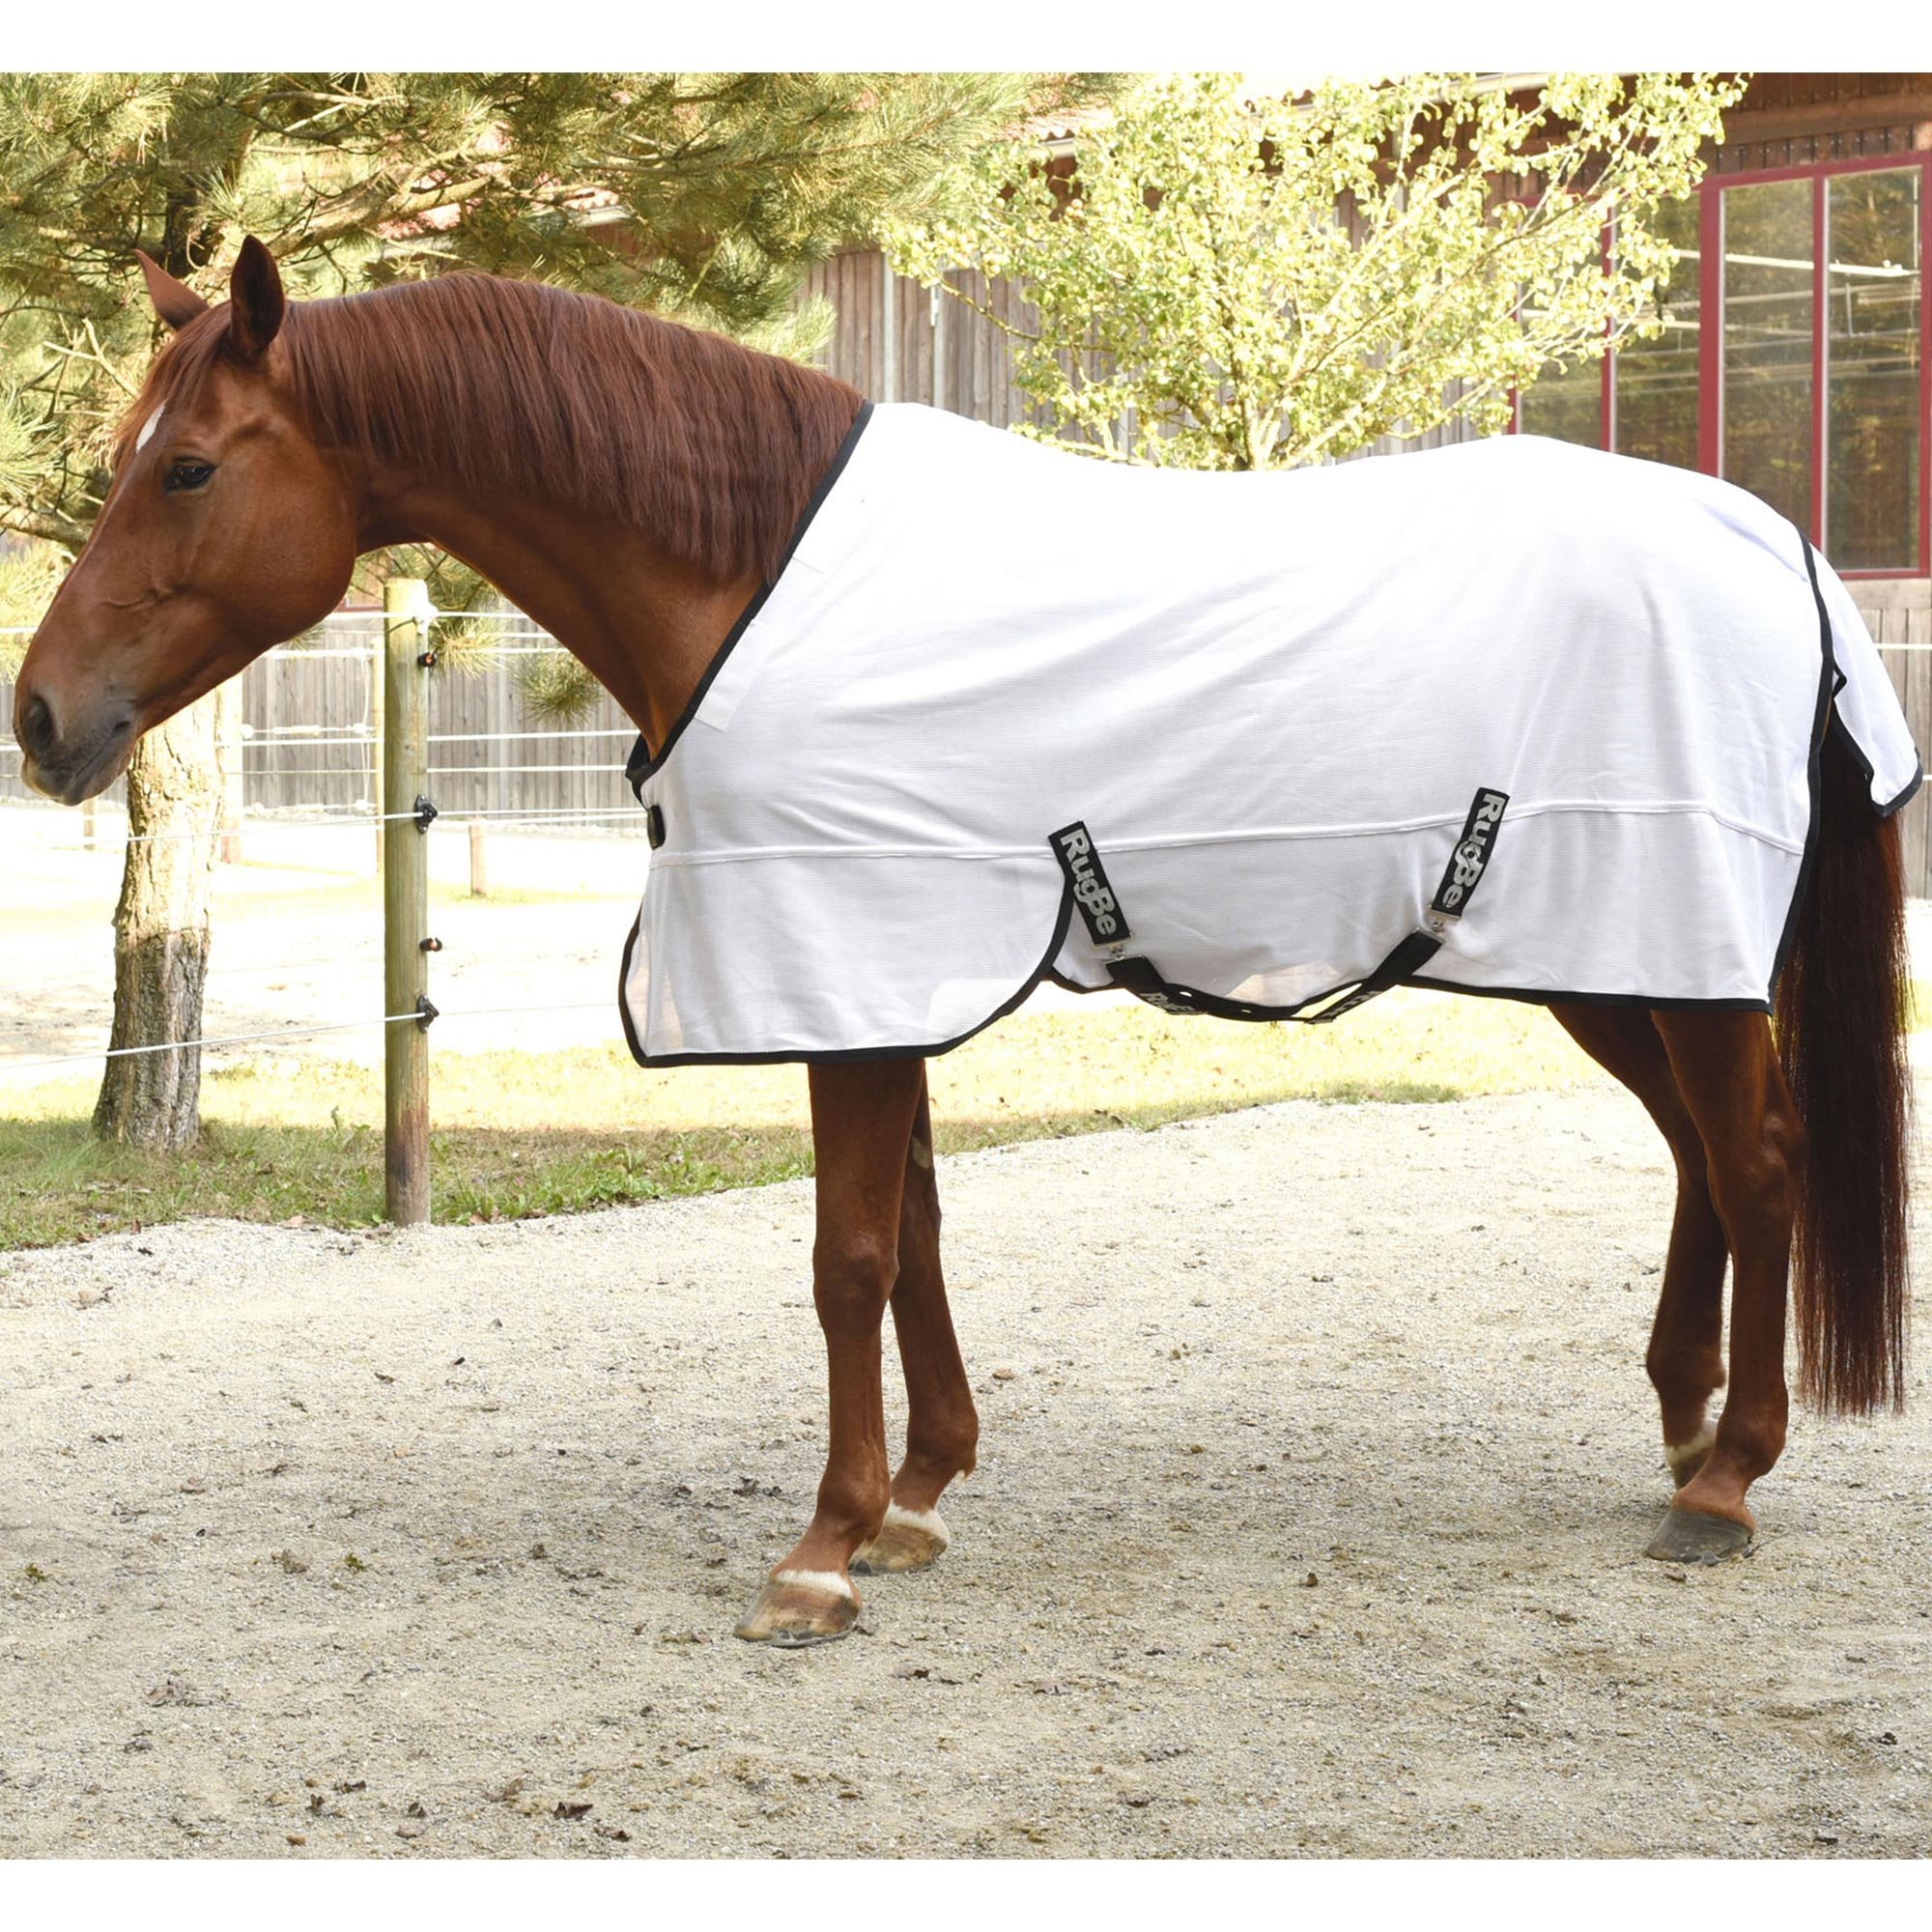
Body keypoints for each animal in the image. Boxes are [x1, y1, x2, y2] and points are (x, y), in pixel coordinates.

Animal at [13, 238, 1913, 1648]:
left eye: (188, 466)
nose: (40, 719)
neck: (742, 572)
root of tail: (1771, 540)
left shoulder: (853, 965)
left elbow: (848, 1256)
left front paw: (823, 1549)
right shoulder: (889, 969)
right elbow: (917, 1228)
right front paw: (918, 1499)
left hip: (1661, 949)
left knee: (1754, 1159)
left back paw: (1729, 1480)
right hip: (1617, 961)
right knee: (1706, 1159)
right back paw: (1682, 1426)